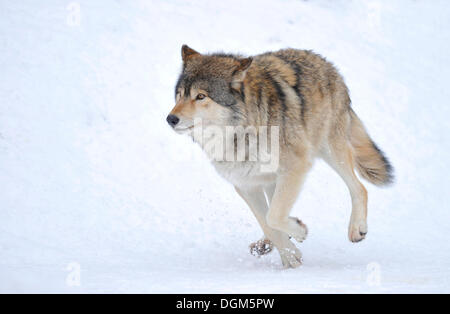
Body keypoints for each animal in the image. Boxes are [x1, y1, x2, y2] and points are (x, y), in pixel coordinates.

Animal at [167, 45, 392, 268]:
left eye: (201, 96)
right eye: (180, 94)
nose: (171, 119)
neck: (242, 133)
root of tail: (326, 63)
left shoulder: (295, 167)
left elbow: (273, 217)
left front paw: (298, 235)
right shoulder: (247, 185)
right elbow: (268, 222)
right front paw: (290, 255)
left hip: (331, 151)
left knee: (359, 188)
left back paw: (356, 229)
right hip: (272, 179)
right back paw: (265, 244)